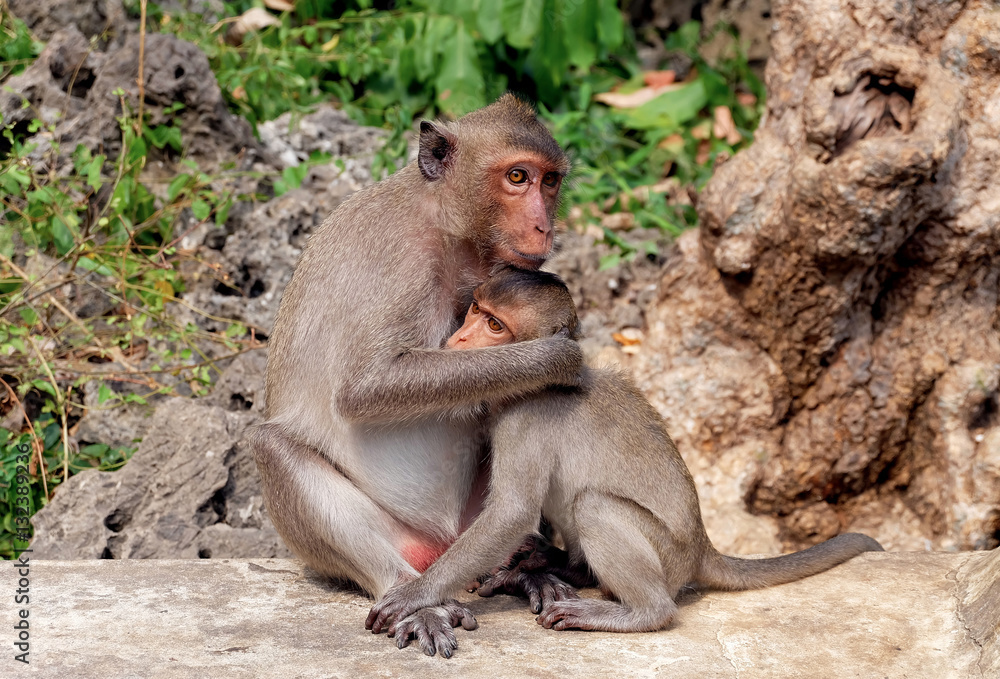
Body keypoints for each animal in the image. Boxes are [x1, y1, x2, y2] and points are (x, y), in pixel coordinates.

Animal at [246, 96, 585, 653]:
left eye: (550, 181)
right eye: (517, 177)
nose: (544, 227)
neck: (444, 224)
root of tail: (439, 544)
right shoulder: (399, 263)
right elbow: (365, 388)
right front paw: (555, 359)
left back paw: (522, 569)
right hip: (391, 543)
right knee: (273, 446)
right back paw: (412, 595)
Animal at [366, 266, 884, 655]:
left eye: (495, 326)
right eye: (476, 309)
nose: (458, 342)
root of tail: (701, 547)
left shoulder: (525, 415)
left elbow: (511, 511)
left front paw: (415, 595)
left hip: (667, 557)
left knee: (597, 506)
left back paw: (637, 611)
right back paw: (558, 567)